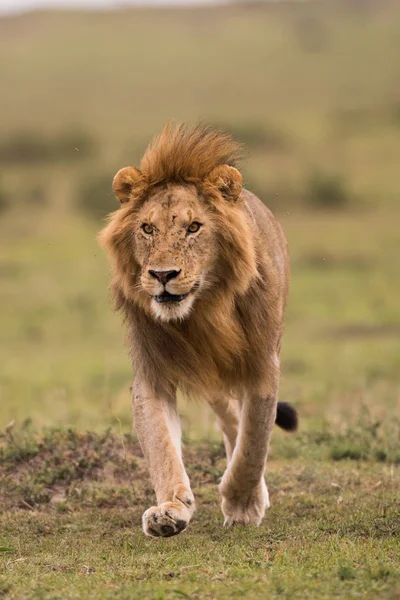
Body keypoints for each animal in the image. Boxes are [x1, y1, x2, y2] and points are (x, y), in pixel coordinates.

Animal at [99, 123, 296, 540]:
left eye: (193, 227)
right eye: (147, 228)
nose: (162, 275)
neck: (202, 313)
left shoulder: (263, 366)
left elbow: (254, 442)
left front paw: (241, 505)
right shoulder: (152, 374)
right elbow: (161, 447)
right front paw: (170, 510)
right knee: (229, 420)